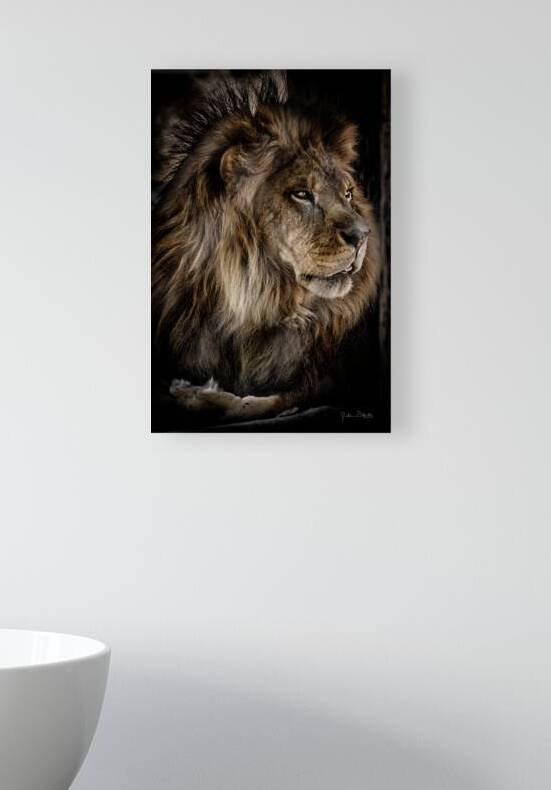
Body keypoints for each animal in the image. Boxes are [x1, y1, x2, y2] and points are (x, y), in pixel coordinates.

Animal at [152, 71, 381, 424]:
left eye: (347, 194)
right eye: (302, 194)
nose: (362, 234)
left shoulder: (320, 383)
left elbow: (259, 402)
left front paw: (197, 395)